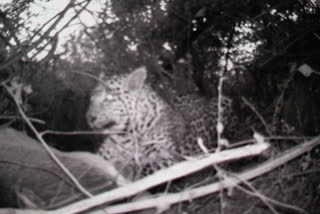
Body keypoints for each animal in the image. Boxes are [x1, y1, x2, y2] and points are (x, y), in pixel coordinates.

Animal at [86, 66, 234, 179]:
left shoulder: (169, 158)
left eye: (110, 97)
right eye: (91, 99)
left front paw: (127, 170)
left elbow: (145, 166)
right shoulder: (101, 156)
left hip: (224, 100)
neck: (126, 135)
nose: (89, 118)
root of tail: (200, 95)